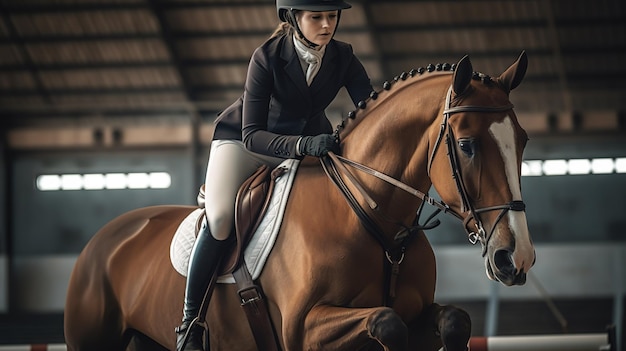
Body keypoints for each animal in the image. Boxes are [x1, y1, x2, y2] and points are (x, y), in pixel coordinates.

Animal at [63, 53, 532, 351]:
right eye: (467, 145)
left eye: (524, 141)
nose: (516, 258)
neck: (371, 220)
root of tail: (105, 237)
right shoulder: (303, 328)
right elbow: (386, 322)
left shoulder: (419, 314)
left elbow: (454, 321)